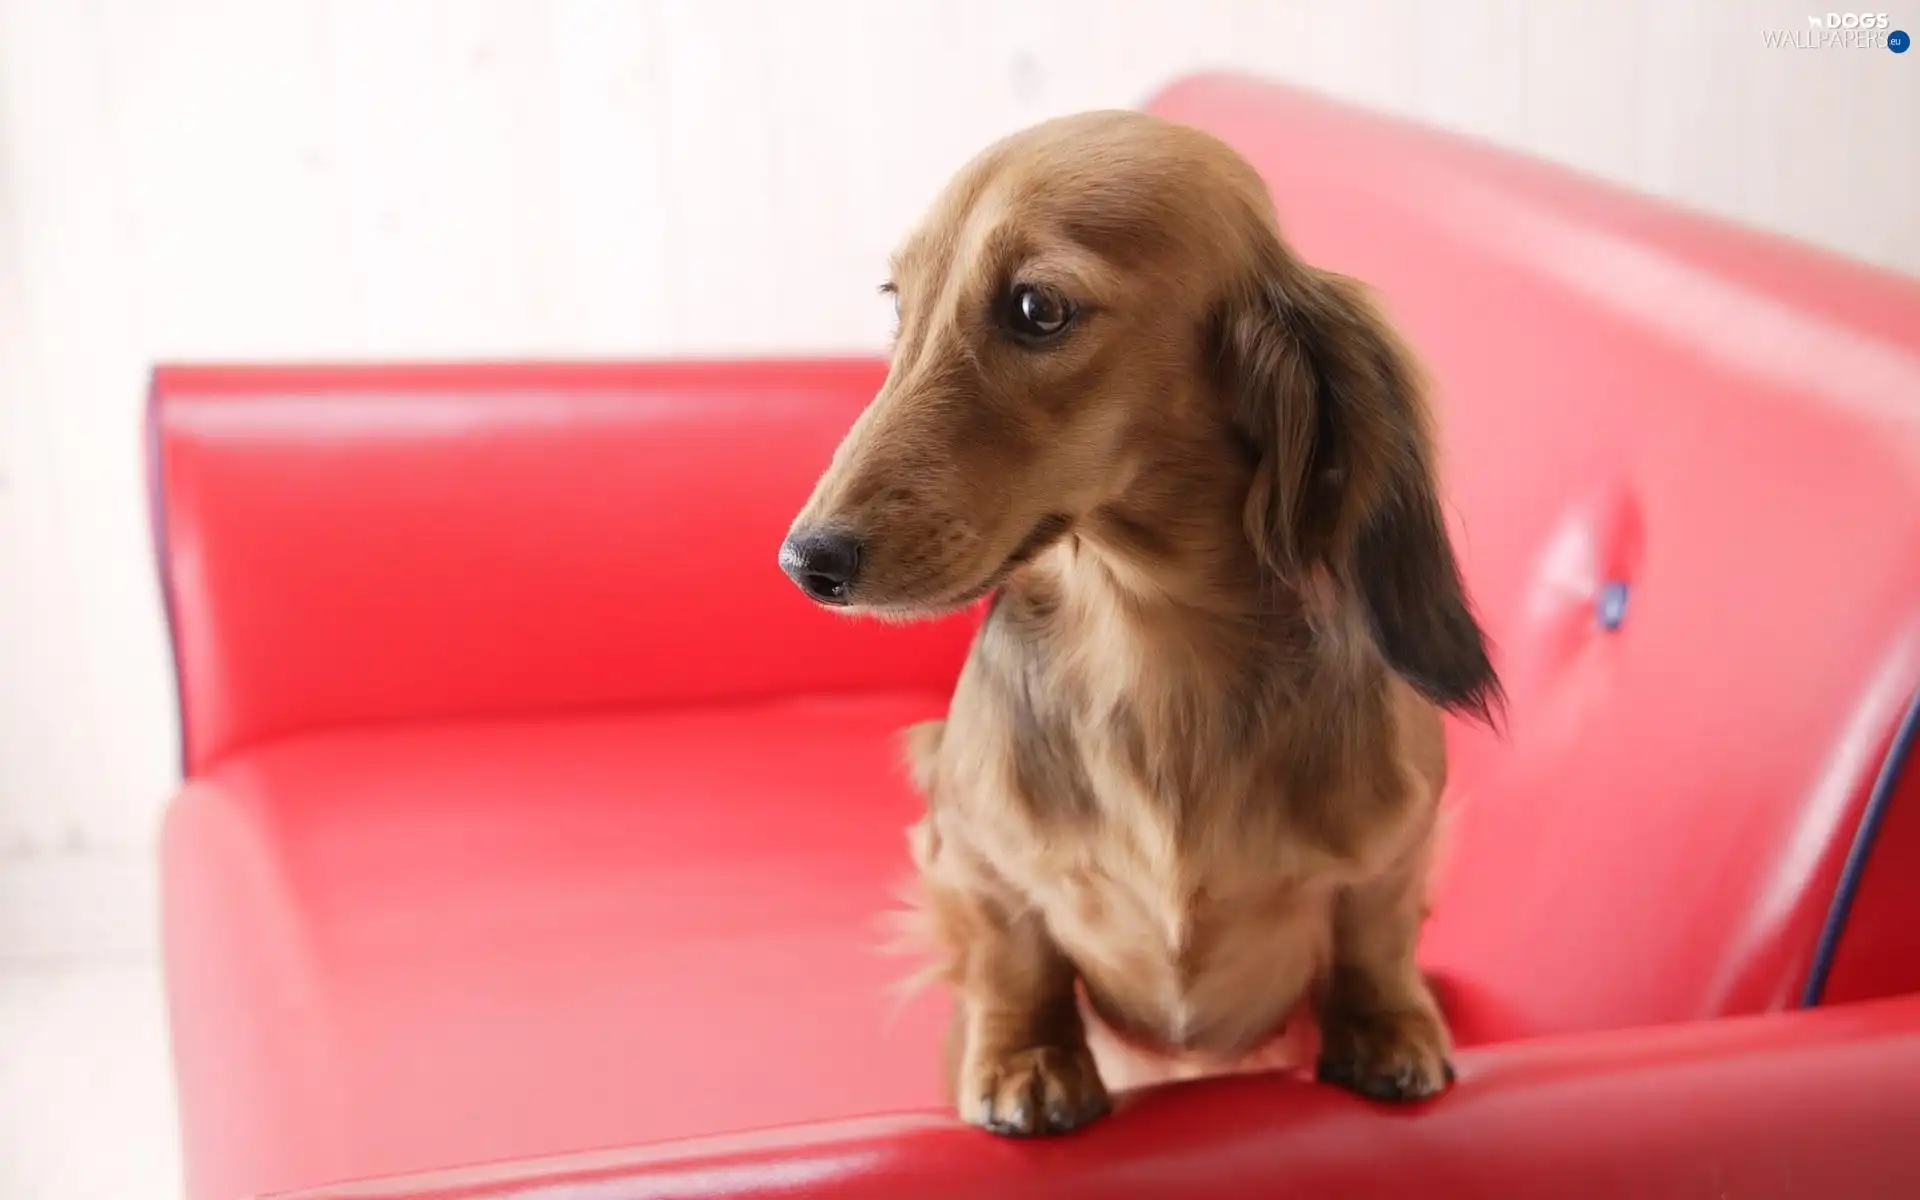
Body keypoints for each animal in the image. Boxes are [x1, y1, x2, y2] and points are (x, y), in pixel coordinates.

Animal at [779, 112, 1497, 1128]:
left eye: (1037, 308)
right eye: (898, 303)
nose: (808, 562)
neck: (1151, 645)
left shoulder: (1397, 845)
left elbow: (1376, 936)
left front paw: (1387, 1028)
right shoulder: (971, 854)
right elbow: (1015, 959)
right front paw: (1031, 1059)